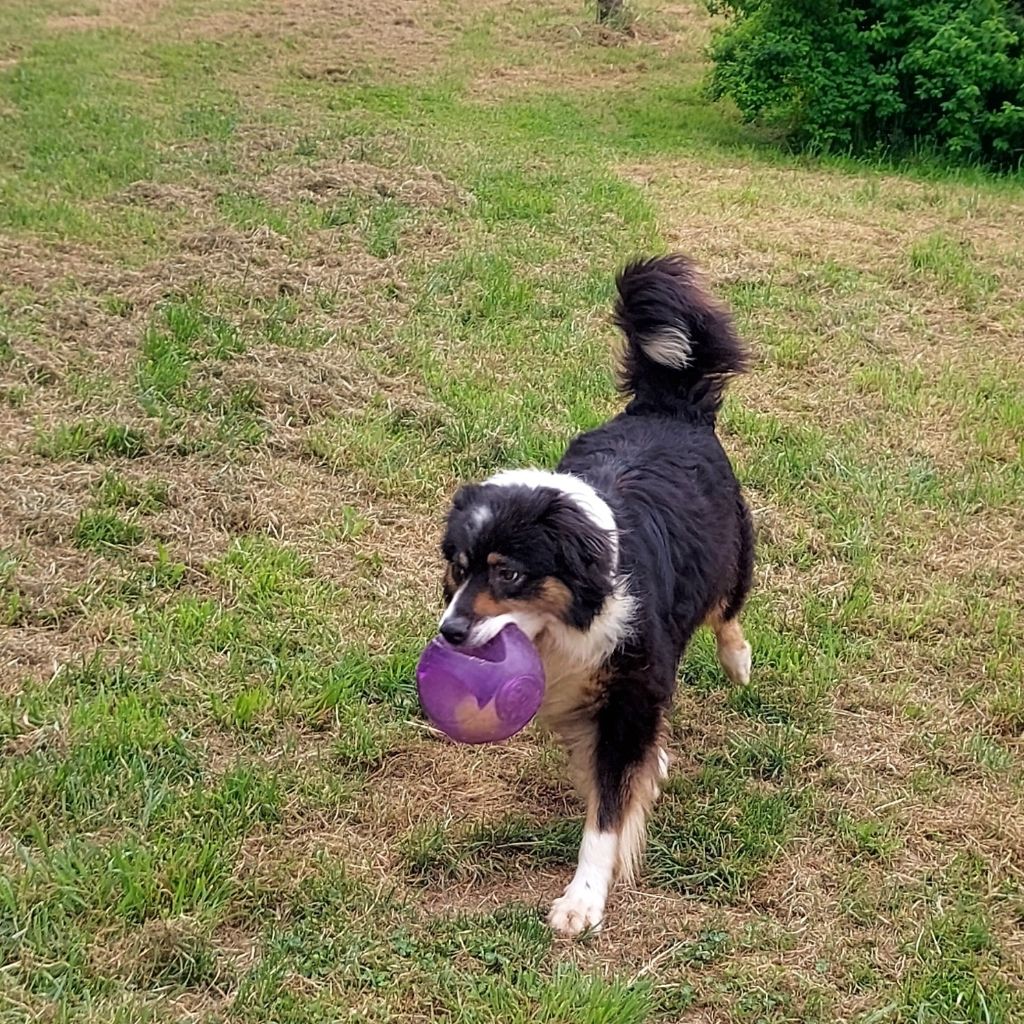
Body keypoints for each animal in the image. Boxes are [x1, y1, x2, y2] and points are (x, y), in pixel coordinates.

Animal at [438, 254, 754, 937]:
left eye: (508, 575)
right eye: (457, 569)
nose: (448, 633)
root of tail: (669, 406)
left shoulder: (630, 691)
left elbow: (607, 810)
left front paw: (583, 899)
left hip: (733, 555)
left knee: (728, 610)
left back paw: (738, 660)